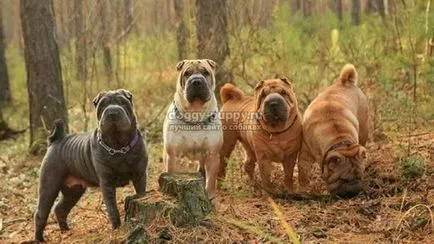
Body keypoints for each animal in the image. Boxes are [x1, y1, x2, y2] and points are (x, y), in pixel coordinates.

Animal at [33, 88, 147, 241]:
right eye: (103, 105)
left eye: (123, 103)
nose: (113, 112)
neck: (119, 147)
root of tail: (55, 140)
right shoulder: (107, 183)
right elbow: (112, 207)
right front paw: (117, 227)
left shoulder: (139, 174)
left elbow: (141, 192)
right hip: (49, 185)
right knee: (41, 213)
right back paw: (39, 239)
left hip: (73, 191)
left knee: (60, 208)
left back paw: (65, 230)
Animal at [163, 59, 224, 200]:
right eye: (187, 74)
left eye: (205, 72)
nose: (196, 81)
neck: (195, 112)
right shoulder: (172, 155)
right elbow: (171, 173)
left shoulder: (212, 154)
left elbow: (211, 180)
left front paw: (209, 196)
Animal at [298, 63, 370, 197]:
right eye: (342, 179)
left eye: (360, 176)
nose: (354, 189)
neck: (340, 141)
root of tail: (345, 81)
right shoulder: (305, 152)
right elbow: (304, 173)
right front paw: (303, 191)